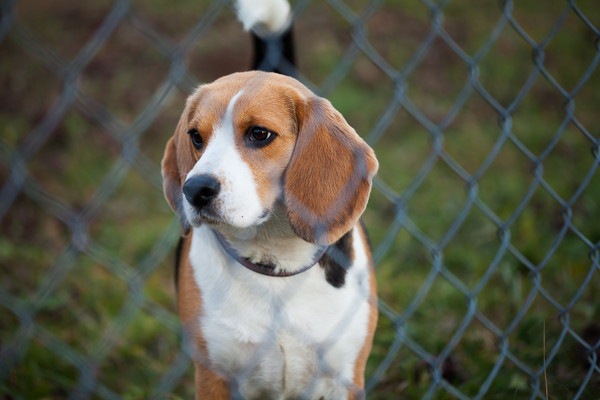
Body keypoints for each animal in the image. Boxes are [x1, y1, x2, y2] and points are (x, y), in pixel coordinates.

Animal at [163, 70, 380, 398]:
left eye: (259, 134)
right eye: (196, 137)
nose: (195, 189)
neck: (276, 259)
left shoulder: (346, 377)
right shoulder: (213, 376)